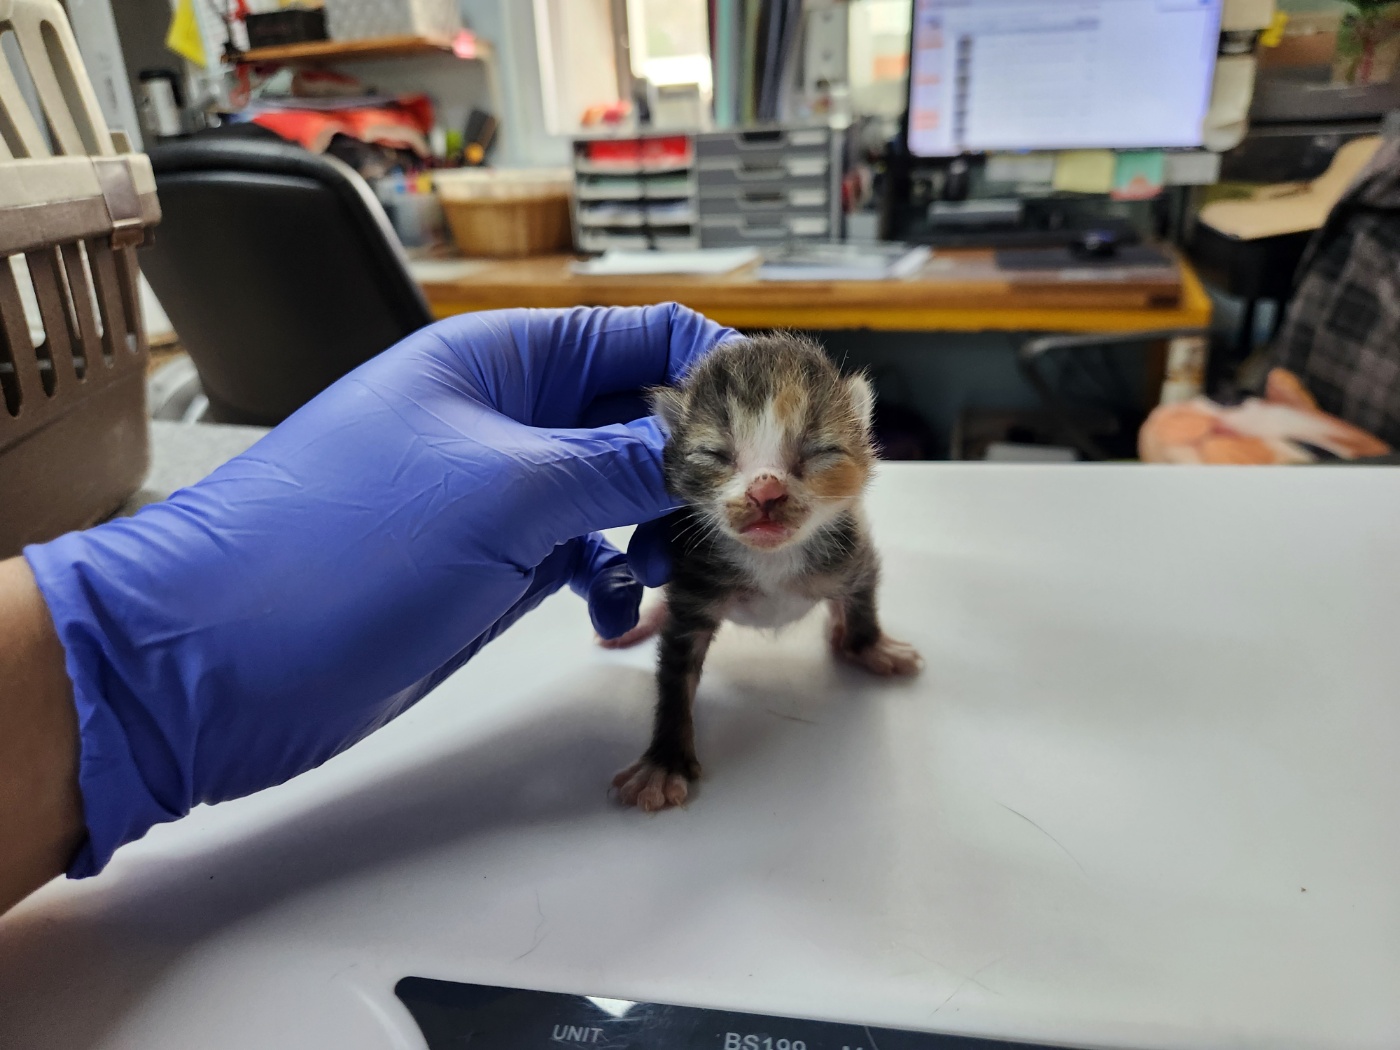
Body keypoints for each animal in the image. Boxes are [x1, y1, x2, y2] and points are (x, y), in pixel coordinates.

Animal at [610, 337, 918, 812]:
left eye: (818, 451)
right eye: (715, 454)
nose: (766, 490)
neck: (772, 560)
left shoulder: (851, 553)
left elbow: (863, 600)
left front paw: (870, 645)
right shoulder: (694, 585)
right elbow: (676, 674)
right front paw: (664, 762)